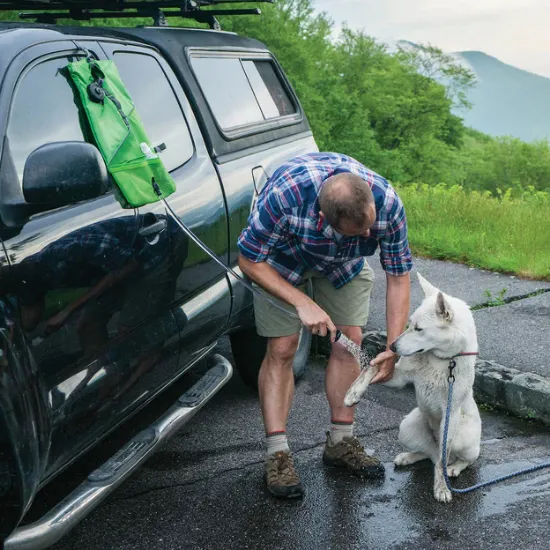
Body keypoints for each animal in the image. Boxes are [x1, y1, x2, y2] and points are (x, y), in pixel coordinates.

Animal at [344, 274, 484, 502]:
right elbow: (372, 368)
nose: (392, 347)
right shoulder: (398, 376)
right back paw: (409, 457)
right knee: (431, 454)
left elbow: (442, 460)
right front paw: (353, 393)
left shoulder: (451, 411)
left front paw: (442, 488)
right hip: (406, 428)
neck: (441, 360)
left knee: (452, 458)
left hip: (463, 436)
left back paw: (454, 468)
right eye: (409, 324)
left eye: (419, 329)